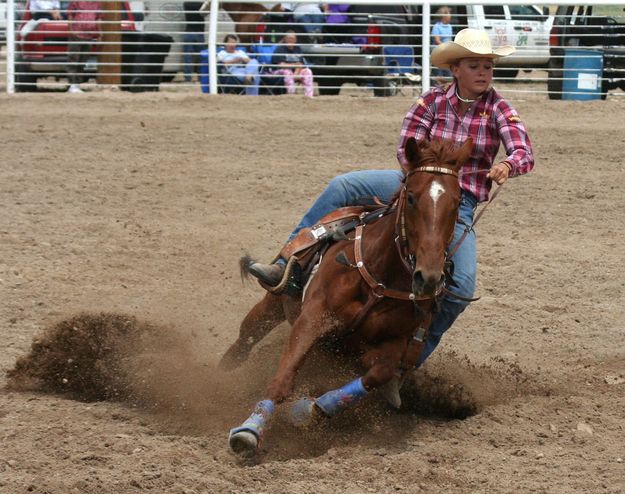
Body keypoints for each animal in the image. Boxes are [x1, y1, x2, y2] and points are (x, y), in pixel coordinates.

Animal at [222, 135, 470, 456]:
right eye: (412, 198)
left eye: (457, 202)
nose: (428, 277)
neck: (380, 279)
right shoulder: (312, 317)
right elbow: (282, 379)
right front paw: (250, 430)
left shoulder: (397, 342)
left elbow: (379, 372)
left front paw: (309, 410)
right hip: (273, 304)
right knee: (248, 334)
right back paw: (224, 370)